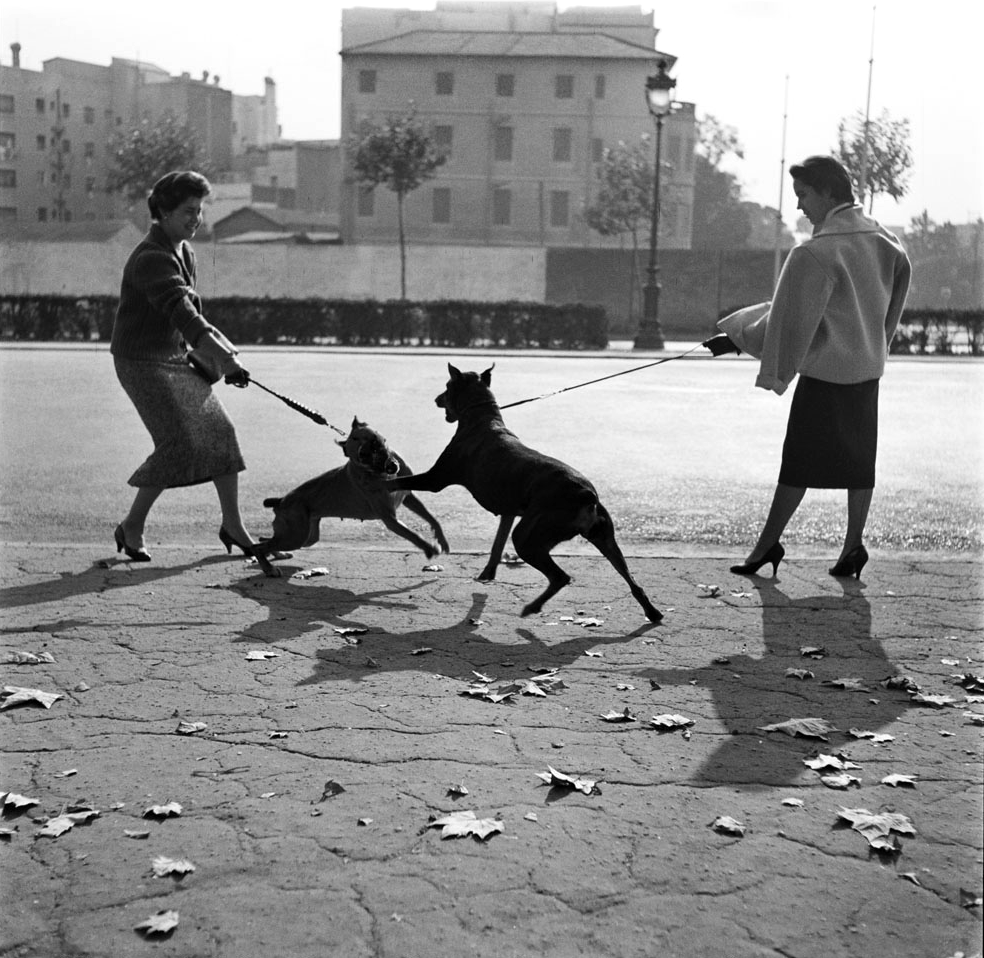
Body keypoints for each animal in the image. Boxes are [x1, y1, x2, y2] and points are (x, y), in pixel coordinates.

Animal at [386, 366, 660, 624]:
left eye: (447, 386)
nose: (436, 399)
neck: (482, 417)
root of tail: (587, 496)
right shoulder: (509, 510)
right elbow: (498, 542)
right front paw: (488, 573)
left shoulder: (435, 479)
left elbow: (399, 482)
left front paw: (380, 483)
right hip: (602, 537)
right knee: (629, 576)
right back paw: (652, 611)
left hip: (531, 535)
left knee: (560, 576)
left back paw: (533, 606)